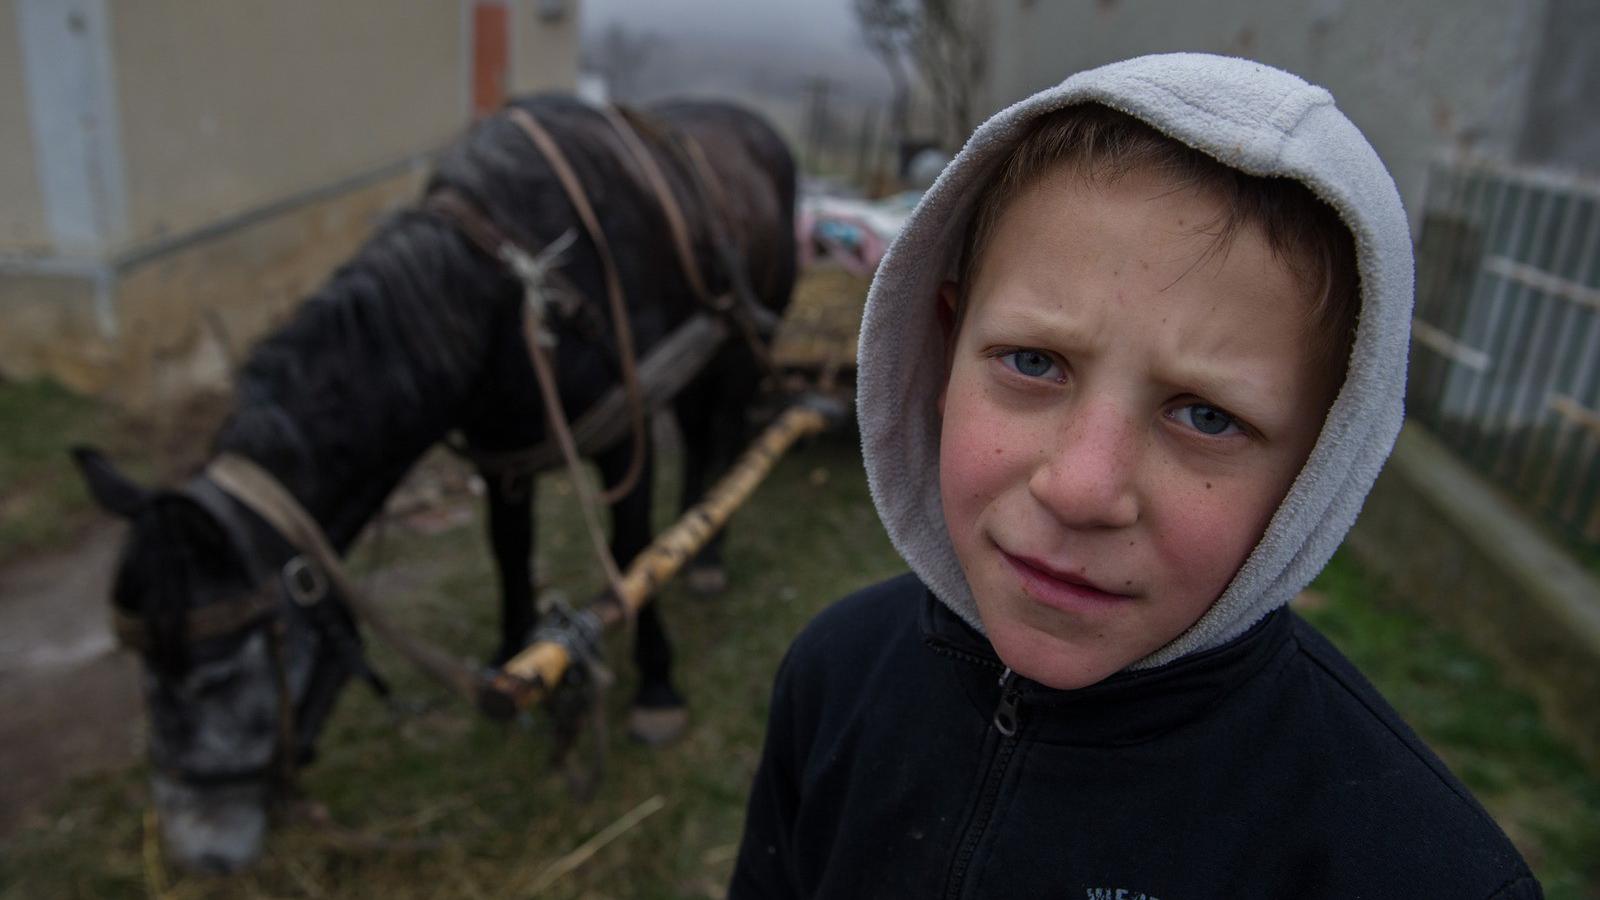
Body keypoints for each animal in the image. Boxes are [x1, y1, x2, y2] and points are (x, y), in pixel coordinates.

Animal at [72, 98, 796, 871]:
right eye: (142, 667)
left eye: (219, 674)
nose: (197, 853)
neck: (514, 290)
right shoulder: (504, 452)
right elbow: (509, 549)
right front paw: (512, 661)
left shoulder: (625, 433)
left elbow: (634, 554)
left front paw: (657, 684)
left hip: (743, 339)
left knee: (724, 432)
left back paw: (708, 555)